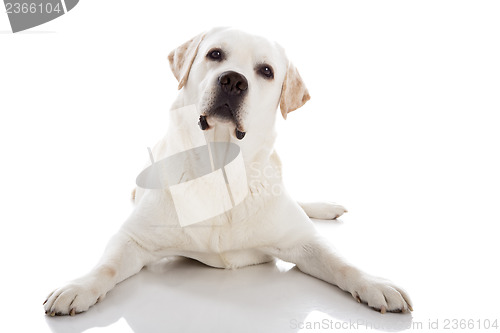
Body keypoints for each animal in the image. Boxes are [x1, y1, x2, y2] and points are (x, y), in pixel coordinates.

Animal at [44, 27, 410, 316]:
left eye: (266, 71)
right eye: (215, 54)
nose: (233, 80)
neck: (219, 167)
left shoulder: (304, 241)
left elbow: (342, 262)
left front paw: (376, 284)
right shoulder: (133, 239)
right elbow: (106, 266)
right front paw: (78, 287)